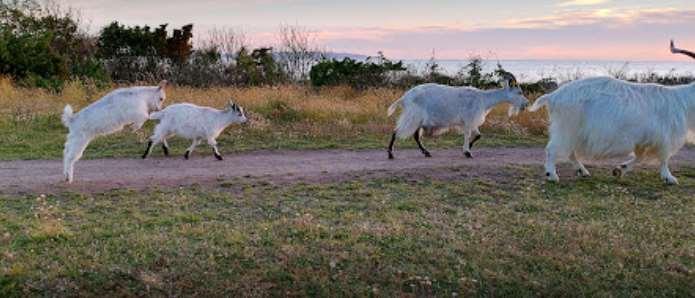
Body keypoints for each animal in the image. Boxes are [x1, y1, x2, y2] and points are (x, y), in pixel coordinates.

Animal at [388, 79, 532, 158]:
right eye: (519, 92)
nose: (526, 103)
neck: (484, 98)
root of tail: (404, 97)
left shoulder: (472, 123)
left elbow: (478, 135)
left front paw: (468, 149)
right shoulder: (469, 121)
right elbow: (468, 135)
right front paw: (467, 152)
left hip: (417, 120)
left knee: (415, 136)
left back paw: (426, 153)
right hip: (412, 117)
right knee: (397, 132)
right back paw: (391, 154)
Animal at [532, 77, 692, 184]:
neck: (683, 101)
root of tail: (553, 96)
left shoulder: (643, 141)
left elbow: (641, 157)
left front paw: (620, 169)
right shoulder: (664, 139)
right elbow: (664, 159)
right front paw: (669, 178)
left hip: (574, 132)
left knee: (570, 152)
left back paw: (582, 171)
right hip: (567, 127)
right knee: (553, 149)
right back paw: (552, 175)